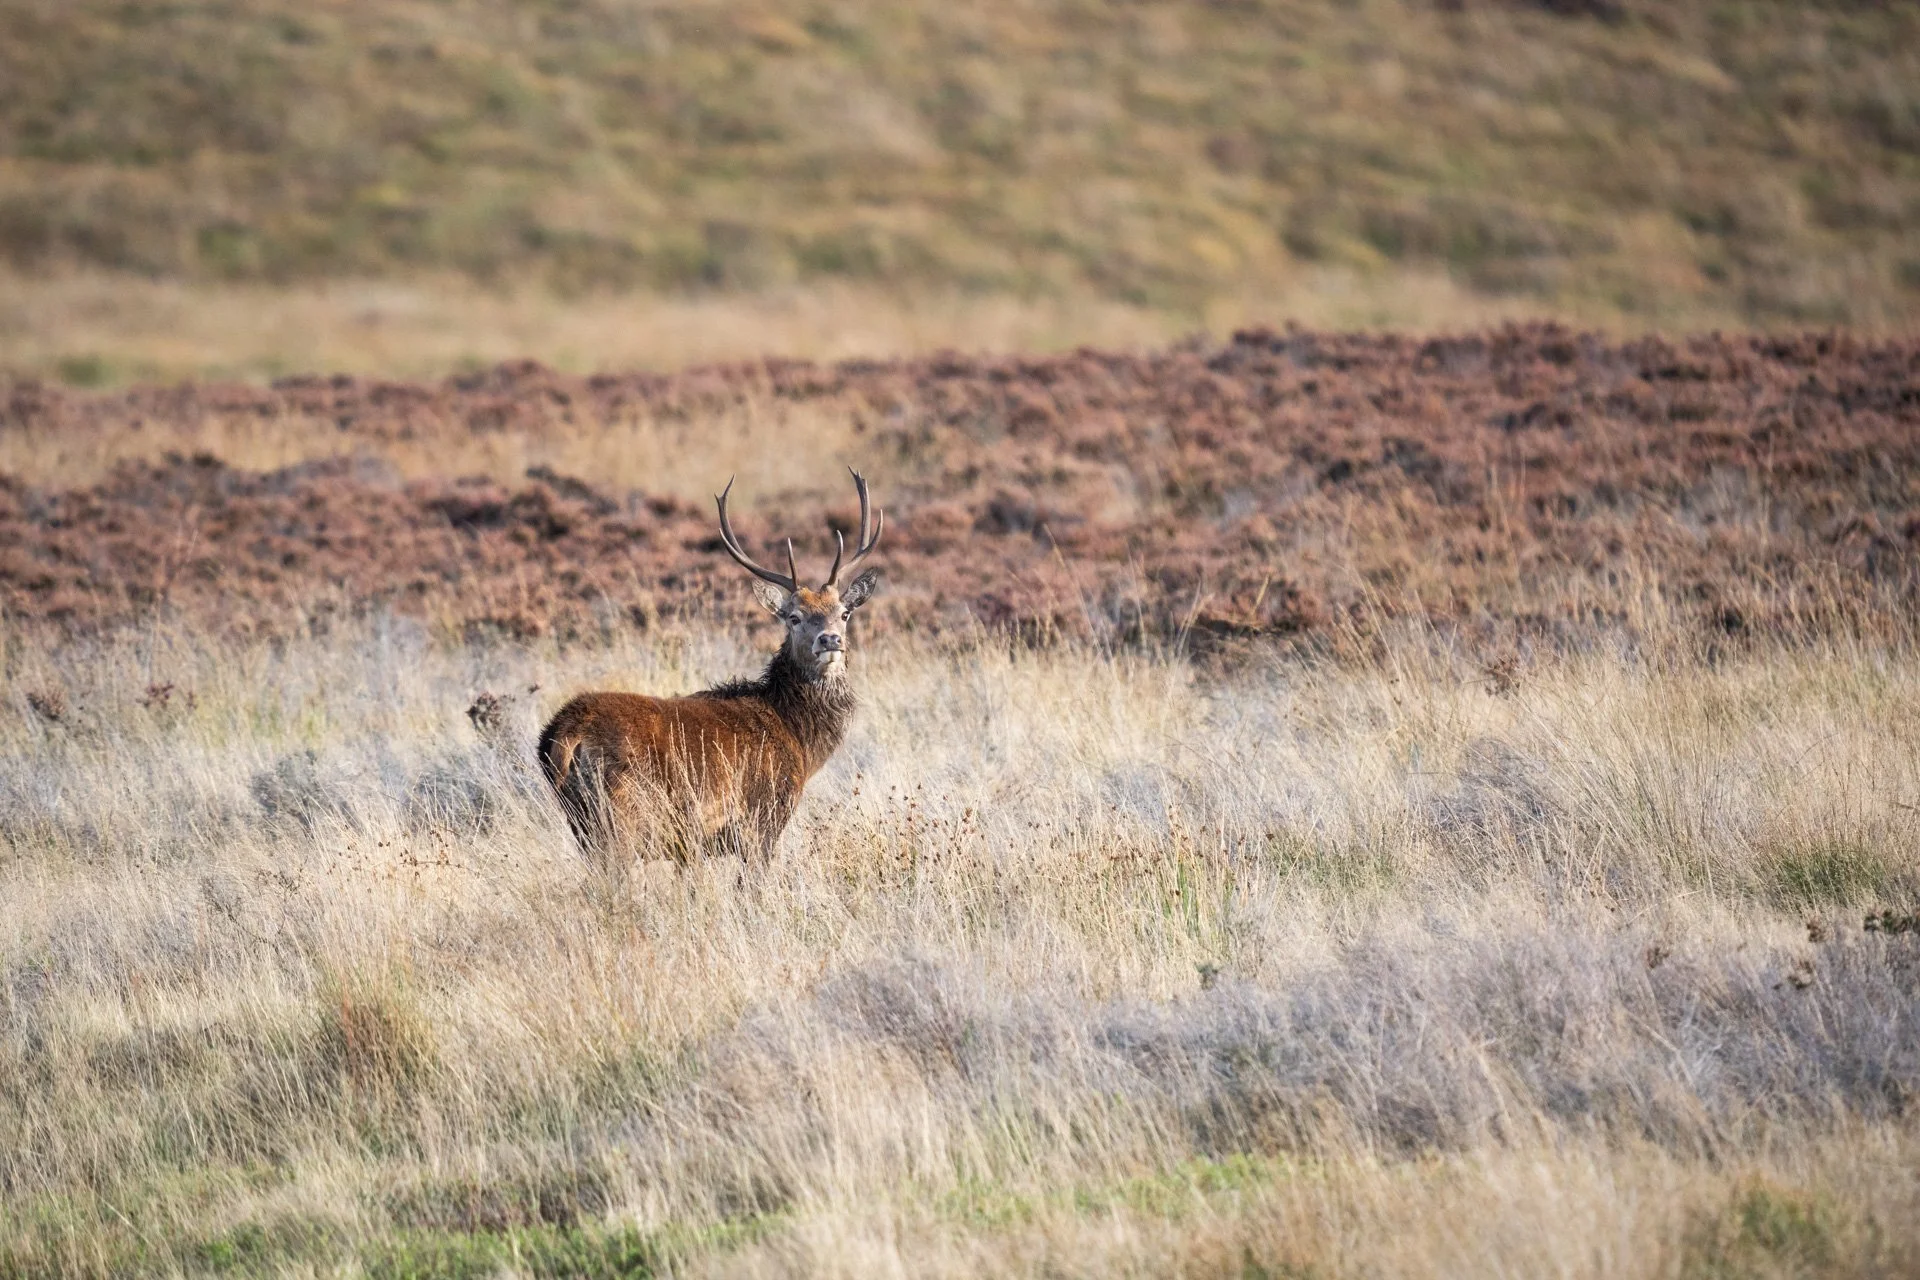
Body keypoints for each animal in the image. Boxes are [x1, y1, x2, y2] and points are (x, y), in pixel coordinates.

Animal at [537, 469, 883, 867]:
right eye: (794, 617)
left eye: (844, 613)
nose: (830, 640)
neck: (799, 739)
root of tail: (564, 735)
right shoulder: (762, 818)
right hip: (621, 815)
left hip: (580, 821)